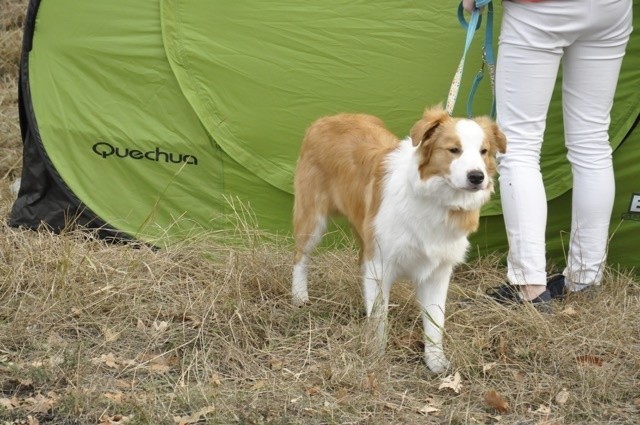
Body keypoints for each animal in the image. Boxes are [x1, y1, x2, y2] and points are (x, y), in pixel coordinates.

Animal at [290, 105, 504, 372]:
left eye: (483, 151)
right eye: (454, 149)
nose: (477, 177)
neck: (435, 200)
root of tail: (326, 119)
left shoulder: (438, 271)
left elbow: (436, 321)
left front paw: (435, 361)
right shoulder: (381, 262)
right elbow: (380, 318)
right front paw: (375, 356)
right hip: (312, 219)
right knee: (300, 257)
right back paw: (299, 296)